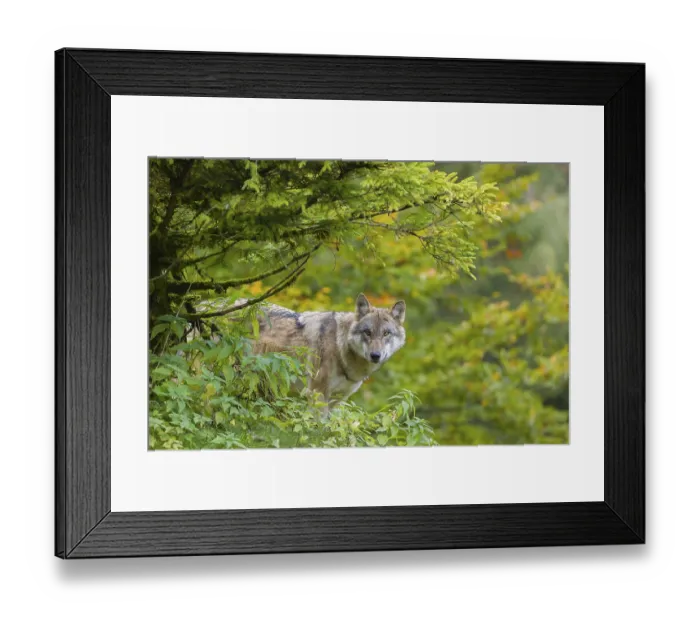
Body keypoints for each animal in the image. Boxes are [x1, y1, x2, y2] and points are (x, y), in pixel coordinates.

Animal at [253, 293, 407, 410]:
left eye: (386, 333)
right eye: (367, 332)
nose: (375, 355)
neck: (340, 345)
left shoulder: (337, 399)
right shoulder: (317, 393)